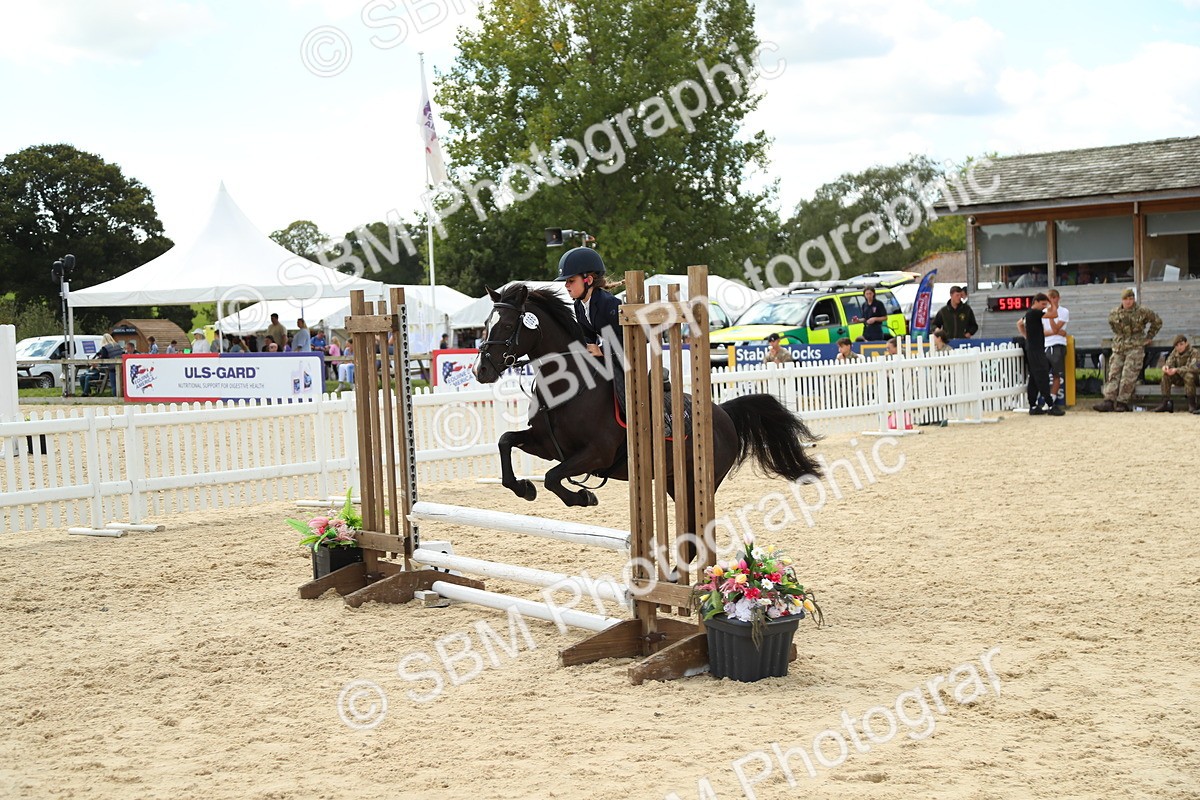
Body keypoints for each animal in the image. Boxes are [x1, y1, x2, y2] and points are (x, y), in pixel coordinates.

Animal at [473, 283, 822, 546]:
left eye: (507, 325)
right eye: (485, 325)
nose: (481, 370)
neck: (568, 385)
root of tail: (722, 413)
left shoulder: (595, 454)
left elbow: (552, 477)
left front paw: (584, 498)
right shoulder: (547, 445)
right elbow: (506, 442)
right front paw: (524, 488)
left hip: (698, 479)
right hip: (670, 480)